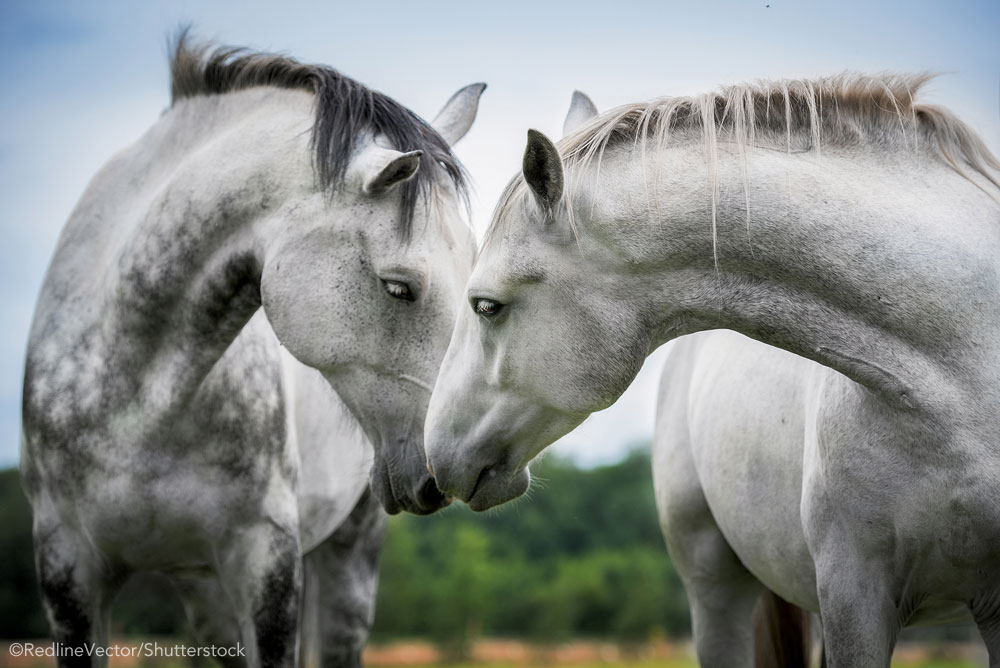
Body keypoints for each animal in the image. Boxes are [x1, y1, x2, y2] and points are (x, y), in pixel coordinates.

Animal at [19, 37, 480, 668]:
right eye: (398, 287)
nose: (448, 466)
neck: (138, 404)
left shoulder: (267, 563)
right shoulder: (67, 571)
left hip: (346, 567)